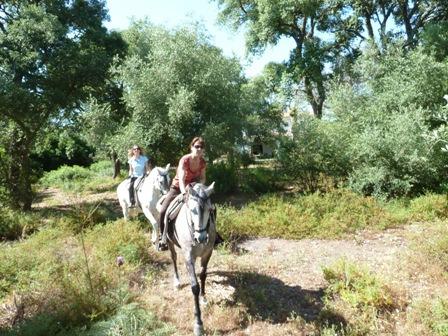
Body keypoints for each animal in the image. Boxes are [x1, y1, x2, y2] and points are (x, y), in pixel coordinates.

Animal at [164, 184, 216, 336]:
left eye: (210, 210)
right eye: (192, 210)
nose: (201, 238)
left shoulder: (207, 254)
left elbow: (203, 275)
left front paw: (204, 299)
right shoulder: (189, 258)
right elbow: (195, 287)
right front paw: (198, 324)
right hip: (170, 243)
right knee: (174, 258)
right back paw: (176, 282)